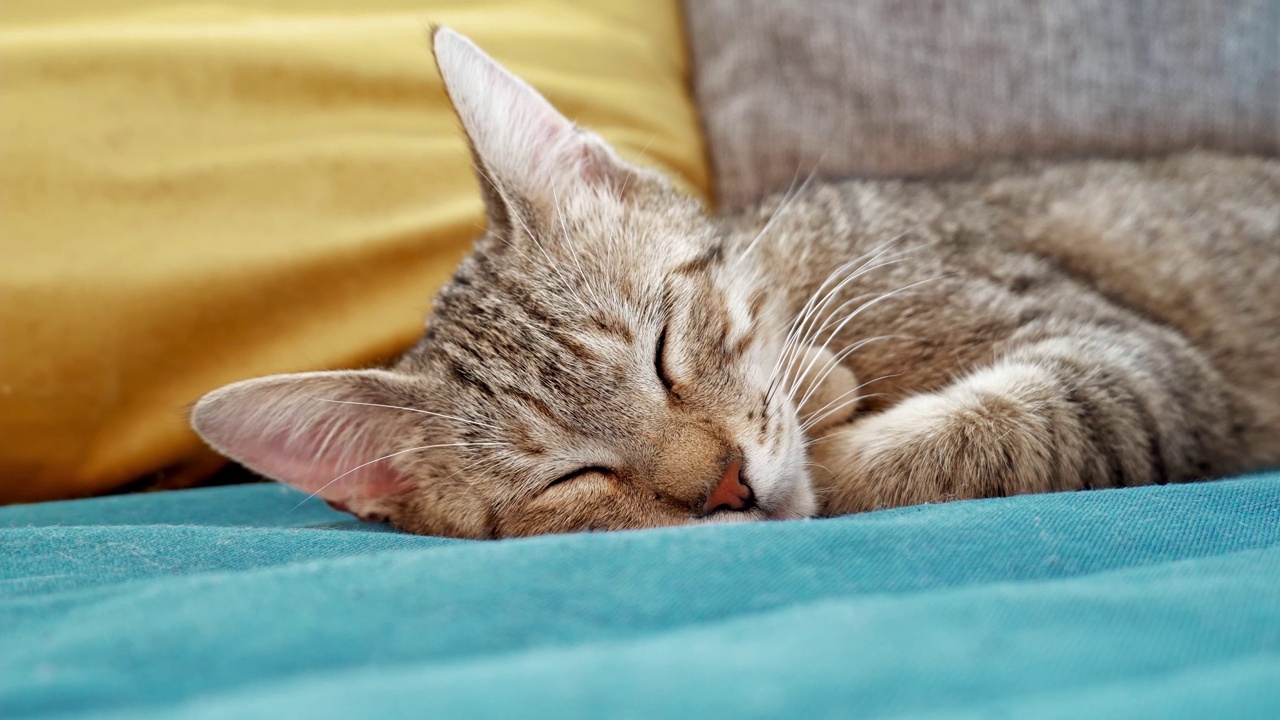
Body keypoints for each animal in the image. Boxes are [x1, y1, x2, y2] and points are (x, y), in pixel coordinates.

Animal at [189, 28, 1280, 535]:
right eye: (572, 478)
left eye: (665, 350)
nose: (724, 487)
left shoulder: (1129, 358)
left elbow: (989, 428)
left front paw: (824, 411)